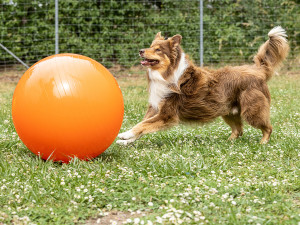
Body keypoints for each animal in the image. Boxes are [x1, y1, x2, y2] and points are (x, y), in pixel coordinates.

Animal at [116, 26, 288, 146]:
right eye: (150, 45)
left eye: (158, 50)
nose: (141, 50)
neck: (166, 74)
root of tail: (257, 70)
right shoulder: (155, 108)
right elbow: (142, 125)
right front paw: (126, 141)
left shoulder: (167, 115)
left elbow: (142, 125)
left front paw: (125, 135)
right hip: (228, 111)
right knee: (239, 130)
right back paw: (228, 142)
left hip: (251, 111)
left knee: (267, 127)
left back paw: (263, 142)